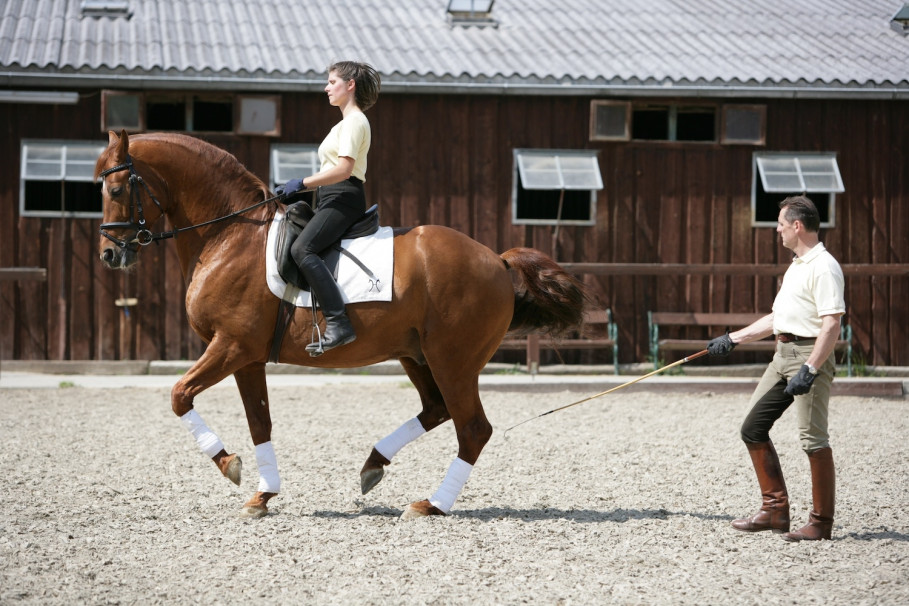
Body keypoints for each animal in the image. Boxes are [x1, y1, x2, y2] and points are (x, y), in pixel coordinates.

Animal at [96, 131, 584, 520]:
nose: (109, 254)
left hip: (454, 362)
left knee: (473, 429)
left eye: (117, 188)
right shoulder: (247, 358)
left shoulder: (231, 346)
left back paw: (432, 504)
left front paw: (229, 465)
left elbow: (180, 396)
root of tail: (497, 261)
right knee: (437, 410)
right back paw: (374, 465)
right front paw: (263, 495)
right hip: (416, 355)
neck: (230, 236)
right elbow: (260, 422)